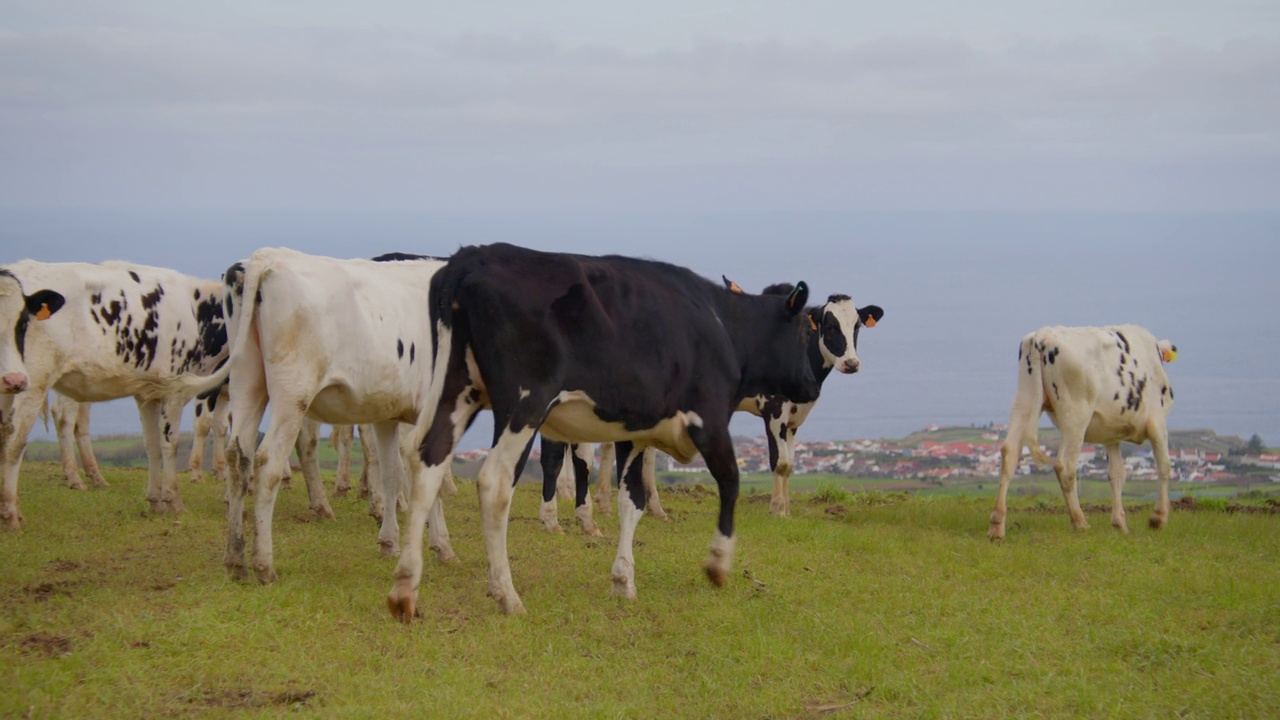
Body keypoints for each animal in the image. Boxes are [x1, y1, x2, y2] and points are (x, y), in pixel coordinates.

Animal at [0, 258, 227, 527]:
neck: (196, 308)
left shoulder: (148, 393)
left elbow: (151, 446)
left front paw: (155, 501)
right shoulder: (175, 388)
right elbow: (169, 444)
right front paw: (173, 502)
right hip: (30, 383)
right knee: (17, 441)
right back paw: (13, 514)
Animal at [163, 248, 455, 584]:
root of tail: (265, 257)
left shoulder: (387, 413)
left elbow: (391, 471)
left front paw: (388, 541)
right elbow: (426, 477)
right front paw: (441, 546)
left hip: (246, 382)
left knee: (239, 457)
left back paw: (235, 560)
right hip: (291, 394)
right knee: (268, 462)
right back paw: (263, 564)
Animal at [384, 240, 819, 617]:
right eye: (806, 330)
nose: (812, 386)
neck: (722, 325)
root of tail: (475, 255)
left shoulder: (636, 432)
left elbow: (633, 501)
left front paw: (623, 580)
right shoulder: (708, 418)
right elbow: (730, 481)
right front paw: (718, 563)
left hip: (458, 389)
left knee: (428, 460)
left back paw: (405, 586)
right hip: (524, 404)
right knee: (493, 482)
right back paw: (506, 594)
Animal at [988, 325, 1177, 538]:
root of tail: (1042, 335)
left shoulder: (1111, 436)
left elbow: (1117, 475)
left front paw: (1119, 523)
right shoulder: (1157, 422)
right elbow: (1164, 467)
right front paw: (1158, 518)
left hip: (1024, 401)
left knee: (1009, 453)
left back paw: (996, 526)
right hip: (1076, 415)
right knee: (1065, 466)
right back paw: (1080, 522)